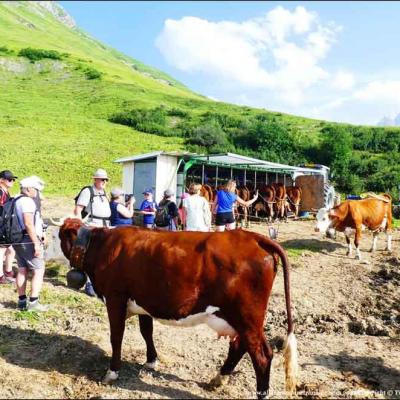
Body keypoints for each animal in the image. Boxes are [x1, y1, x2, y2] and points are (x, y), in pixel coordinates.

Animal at [57, 220, 298, 398]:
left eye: (56, 235)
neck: (101, 246)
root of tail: (252, 237)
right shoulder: (144, 301)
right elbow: (146, 331)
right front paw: (151, 361)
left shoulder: (115, 298)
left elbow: (116, 337)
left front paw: (112, 372)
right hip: (239, 318)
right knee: (240, 346)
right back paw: (217, 379)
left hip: (247, 317)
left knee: (262, 356)